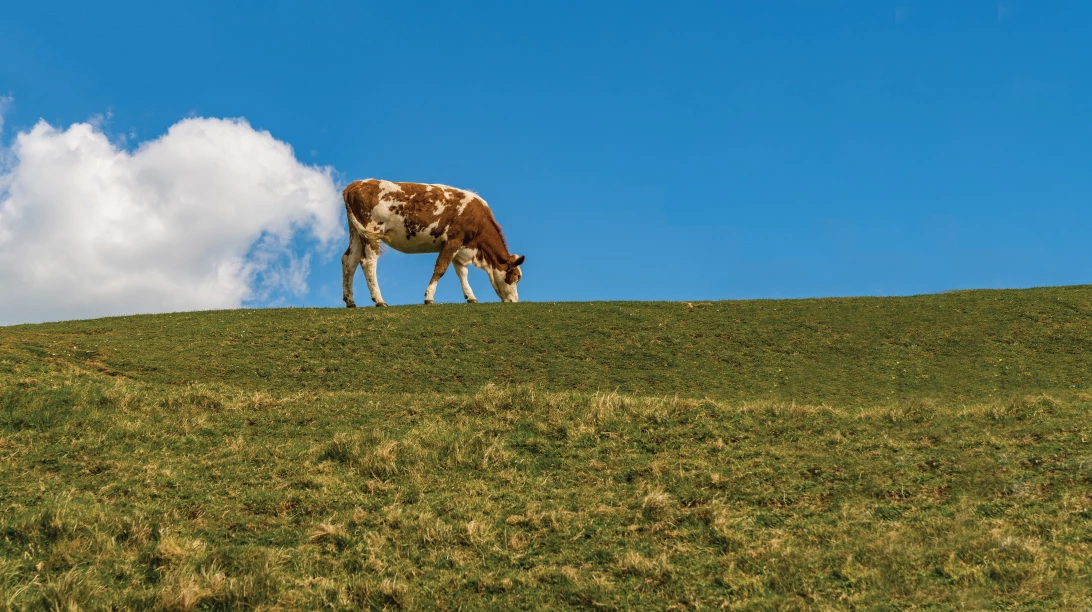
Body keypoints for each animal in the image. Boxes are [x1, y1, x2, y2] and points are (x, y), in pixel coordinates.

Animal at [341, 179, 525, 307]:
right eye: (516, 277)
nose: (515, 300)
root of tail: (357, 183)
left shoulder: (460, 247)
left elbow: (462, 273)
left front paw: (471, 297)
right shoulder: (453, 241)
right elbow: (440, 269)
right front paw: (429, 297)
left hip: (356, 233)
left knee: (349, 261)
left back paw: (350, 301)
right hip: (373, 231)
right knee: (368, 262)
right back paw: (379, 300)